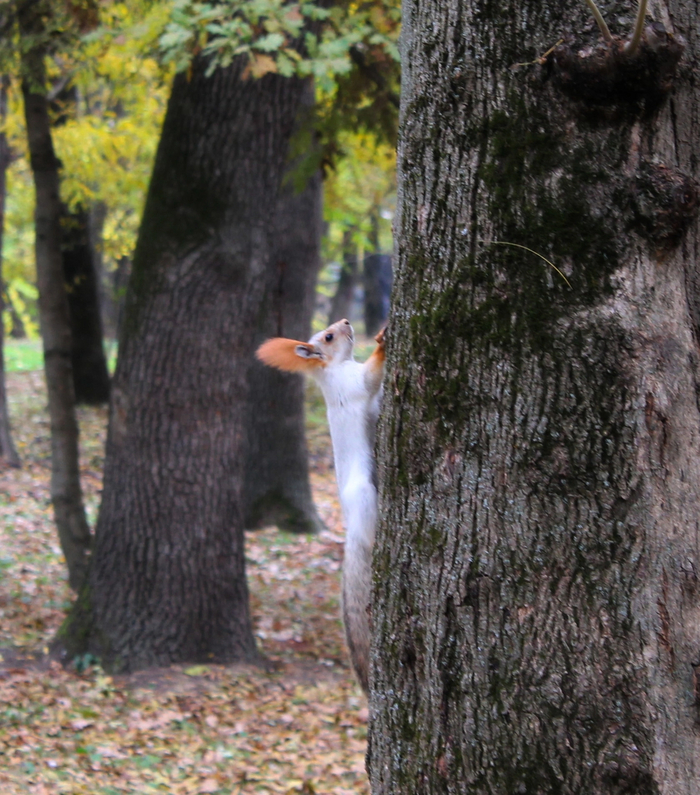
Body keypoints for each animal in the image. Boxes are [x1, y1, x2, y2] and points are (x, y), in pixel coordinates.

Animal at [256, 318, 385, 693]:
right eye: (328, 337)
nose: (346, 321)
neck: (336, 367)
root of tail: (350, 530)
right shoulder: (353, 383)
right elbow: (372, 376)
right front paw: (382, 339)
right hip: (363, 496)